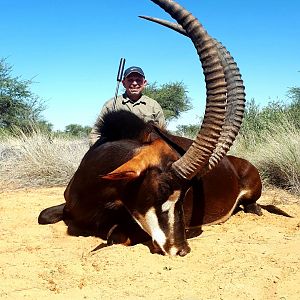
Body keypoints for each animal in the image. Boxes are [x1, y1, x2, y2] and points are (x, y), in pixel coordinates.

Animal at [37, 1, 274, 256]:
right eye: (161, 189)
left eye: (186, 195)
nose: (181, 249)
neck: (93, 189)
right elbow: (43, 215)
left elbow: (113, 236)